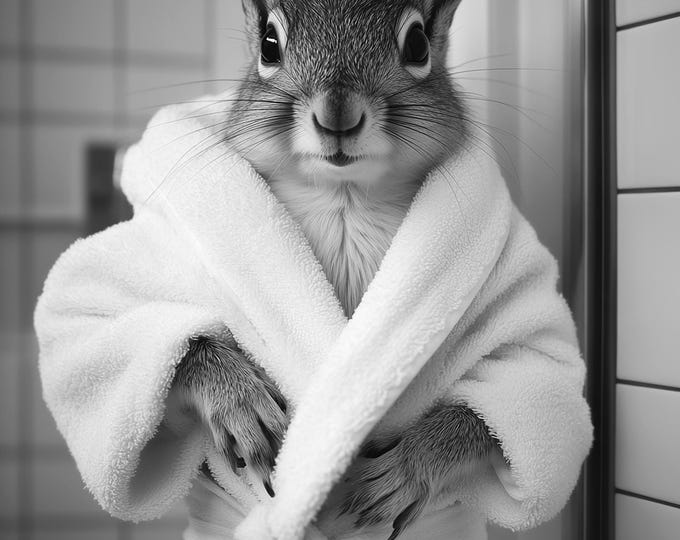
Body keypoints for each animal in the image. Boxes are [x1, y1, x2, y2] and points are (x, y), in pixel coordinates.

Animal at [172, 0, 496, 537]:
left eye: (417, 44)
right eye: (269, 43)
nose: (337, 114)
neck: (345, 199)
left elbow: (493, 412)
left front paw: (408, 467)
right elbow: (173, 342)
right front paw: (240, 403)